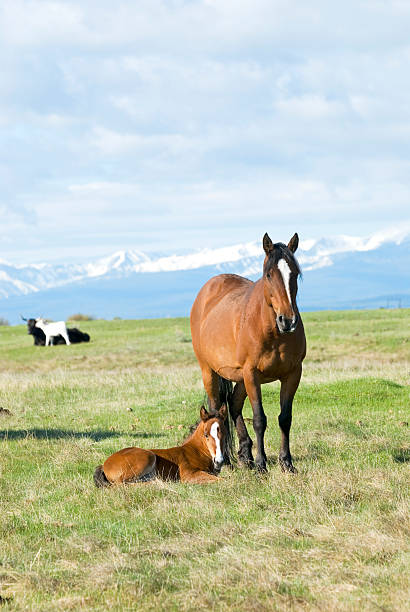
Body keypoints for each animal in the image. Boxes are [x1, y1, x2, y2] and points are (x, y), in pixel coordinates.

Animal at [93, 406, 231, 488]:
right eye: (206, 435)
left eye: (225, 434)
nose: (219, 461)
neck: (196, 451)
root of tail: (104, 464)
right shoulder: (189, 475)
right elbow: (223, 480)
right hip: (148, 456)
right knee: (120, 484)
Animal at [191, 233, 306, 474]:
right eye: (269, 275)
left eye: (294, 273)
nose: (287, 320)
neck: (272, 331)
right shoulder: (252, 374)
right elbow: (259, 419)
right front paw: (262, 465)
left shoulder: (293, 374)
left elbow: (285, 418)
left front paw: (286, 462)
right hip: (210, 372)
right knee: (216, 409)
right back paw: (229, 461)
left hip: (240, 377)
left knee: (233, 405)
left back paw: (246, 455)